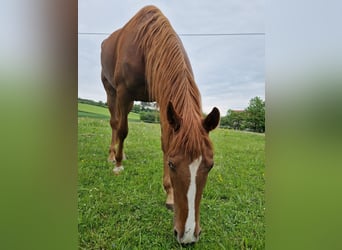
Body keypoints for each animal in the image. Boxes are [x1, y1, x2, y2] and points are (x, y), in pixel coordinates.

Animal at [100, 5, 220, 244]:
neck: (144, 45)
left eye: (210, 165)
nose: (188, 236)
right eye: (172, 165)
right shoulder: (124, 92)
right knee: (115, 123)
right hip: (112, 92)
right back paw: (113, 156)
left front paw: (169, 194)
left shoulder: (163, 99)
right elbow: (123, 129)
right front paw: (118, 164)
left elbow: (166, 141)